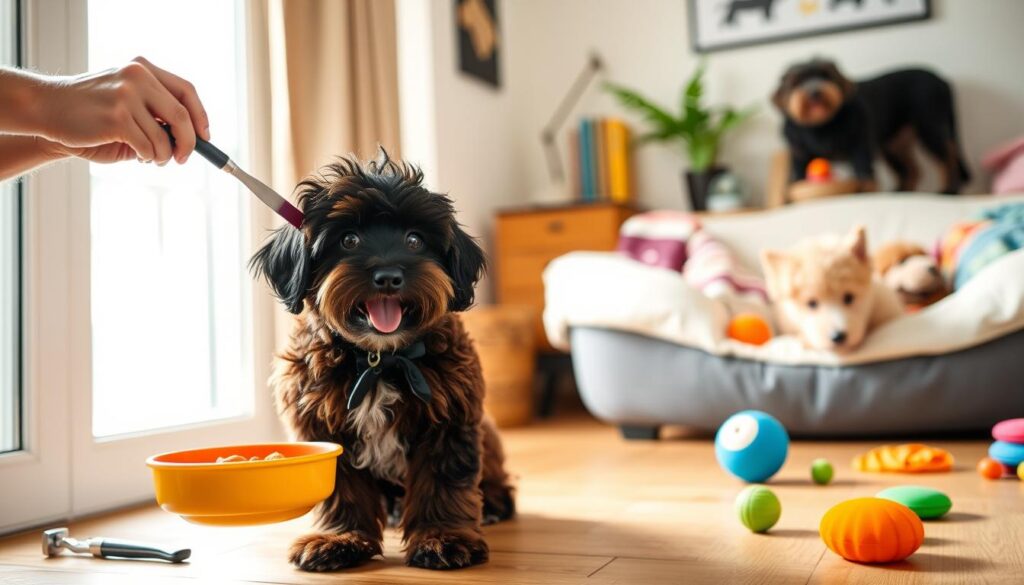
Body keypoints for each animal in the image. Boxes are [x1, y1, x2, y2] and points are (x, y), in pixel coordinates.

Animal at [249, 152, 512, 573]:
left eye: (415, 240)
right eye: (348, 239)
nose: (388, 277)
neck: (378, 359)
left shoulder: (450, 422)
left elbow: (444, 484)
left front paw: (443, 538)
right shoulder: (323, 427)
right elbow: (341, 491)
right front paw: (340, 539)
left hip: (485, 428)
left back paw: (494, 504)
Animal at [774, 59, 966, 193]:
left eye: (826, 76)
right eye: (796, 82)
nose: (814, 92)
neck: (820, 126)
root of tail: (941, 80)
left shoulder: (860, 147)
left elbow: (865, 175)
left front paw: (867, 192)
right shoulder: (799, 155)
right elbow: (797, 179)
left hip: (929, 126)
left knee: (947, 159)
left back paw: (949, 190)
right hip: (894, 144)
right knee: (912, 169)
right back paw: (901, 190)